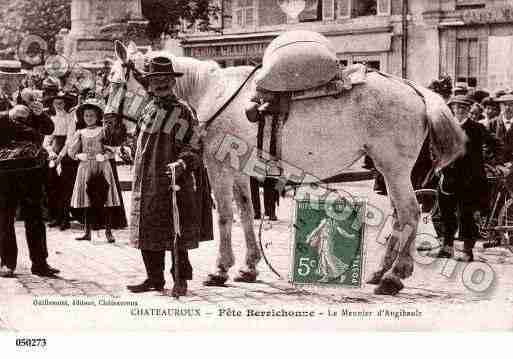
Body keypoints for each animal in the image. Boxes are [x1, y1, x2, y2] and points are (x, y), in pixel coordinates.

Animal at [107, 41, 464, 296]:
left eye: (115, 84)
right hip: (388, 170)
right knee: (400, 217)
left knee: (410, 213)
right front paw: (249, 267)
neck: (210, 91)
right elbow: (246, 212)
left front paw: (220, 269)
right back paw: (381, 271)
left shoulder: (218, 166)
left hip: (393, 168)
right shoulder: (240, 170)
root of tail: (415, 89)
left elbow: (225, 216)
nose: (110, 129)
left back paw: (394, 277)